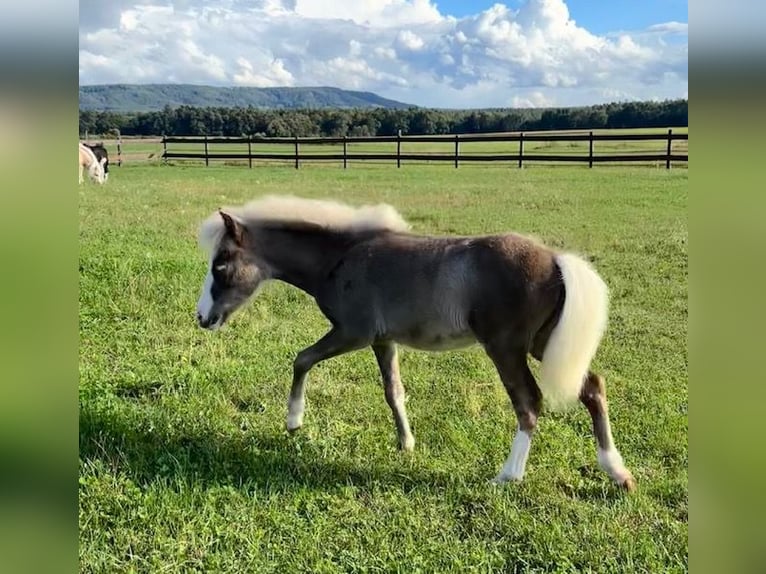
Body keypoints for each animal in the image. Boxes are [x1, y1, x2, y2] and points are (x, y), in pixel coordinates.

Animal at [196, 197, 636, 490]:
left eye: (220, 265)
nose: (202, 317)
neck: (341, 258)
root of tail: (556, 260)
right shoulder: (382, 339)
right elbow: (394, 391)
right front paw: (406, 443)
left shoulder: (353, 332)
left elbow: (301, 359)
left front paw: (294, 421)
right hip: (542, 343)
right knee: (592, 387)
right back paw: (617, 472)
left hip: (506, 347)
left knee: (529, 404)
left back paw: (508, 476)